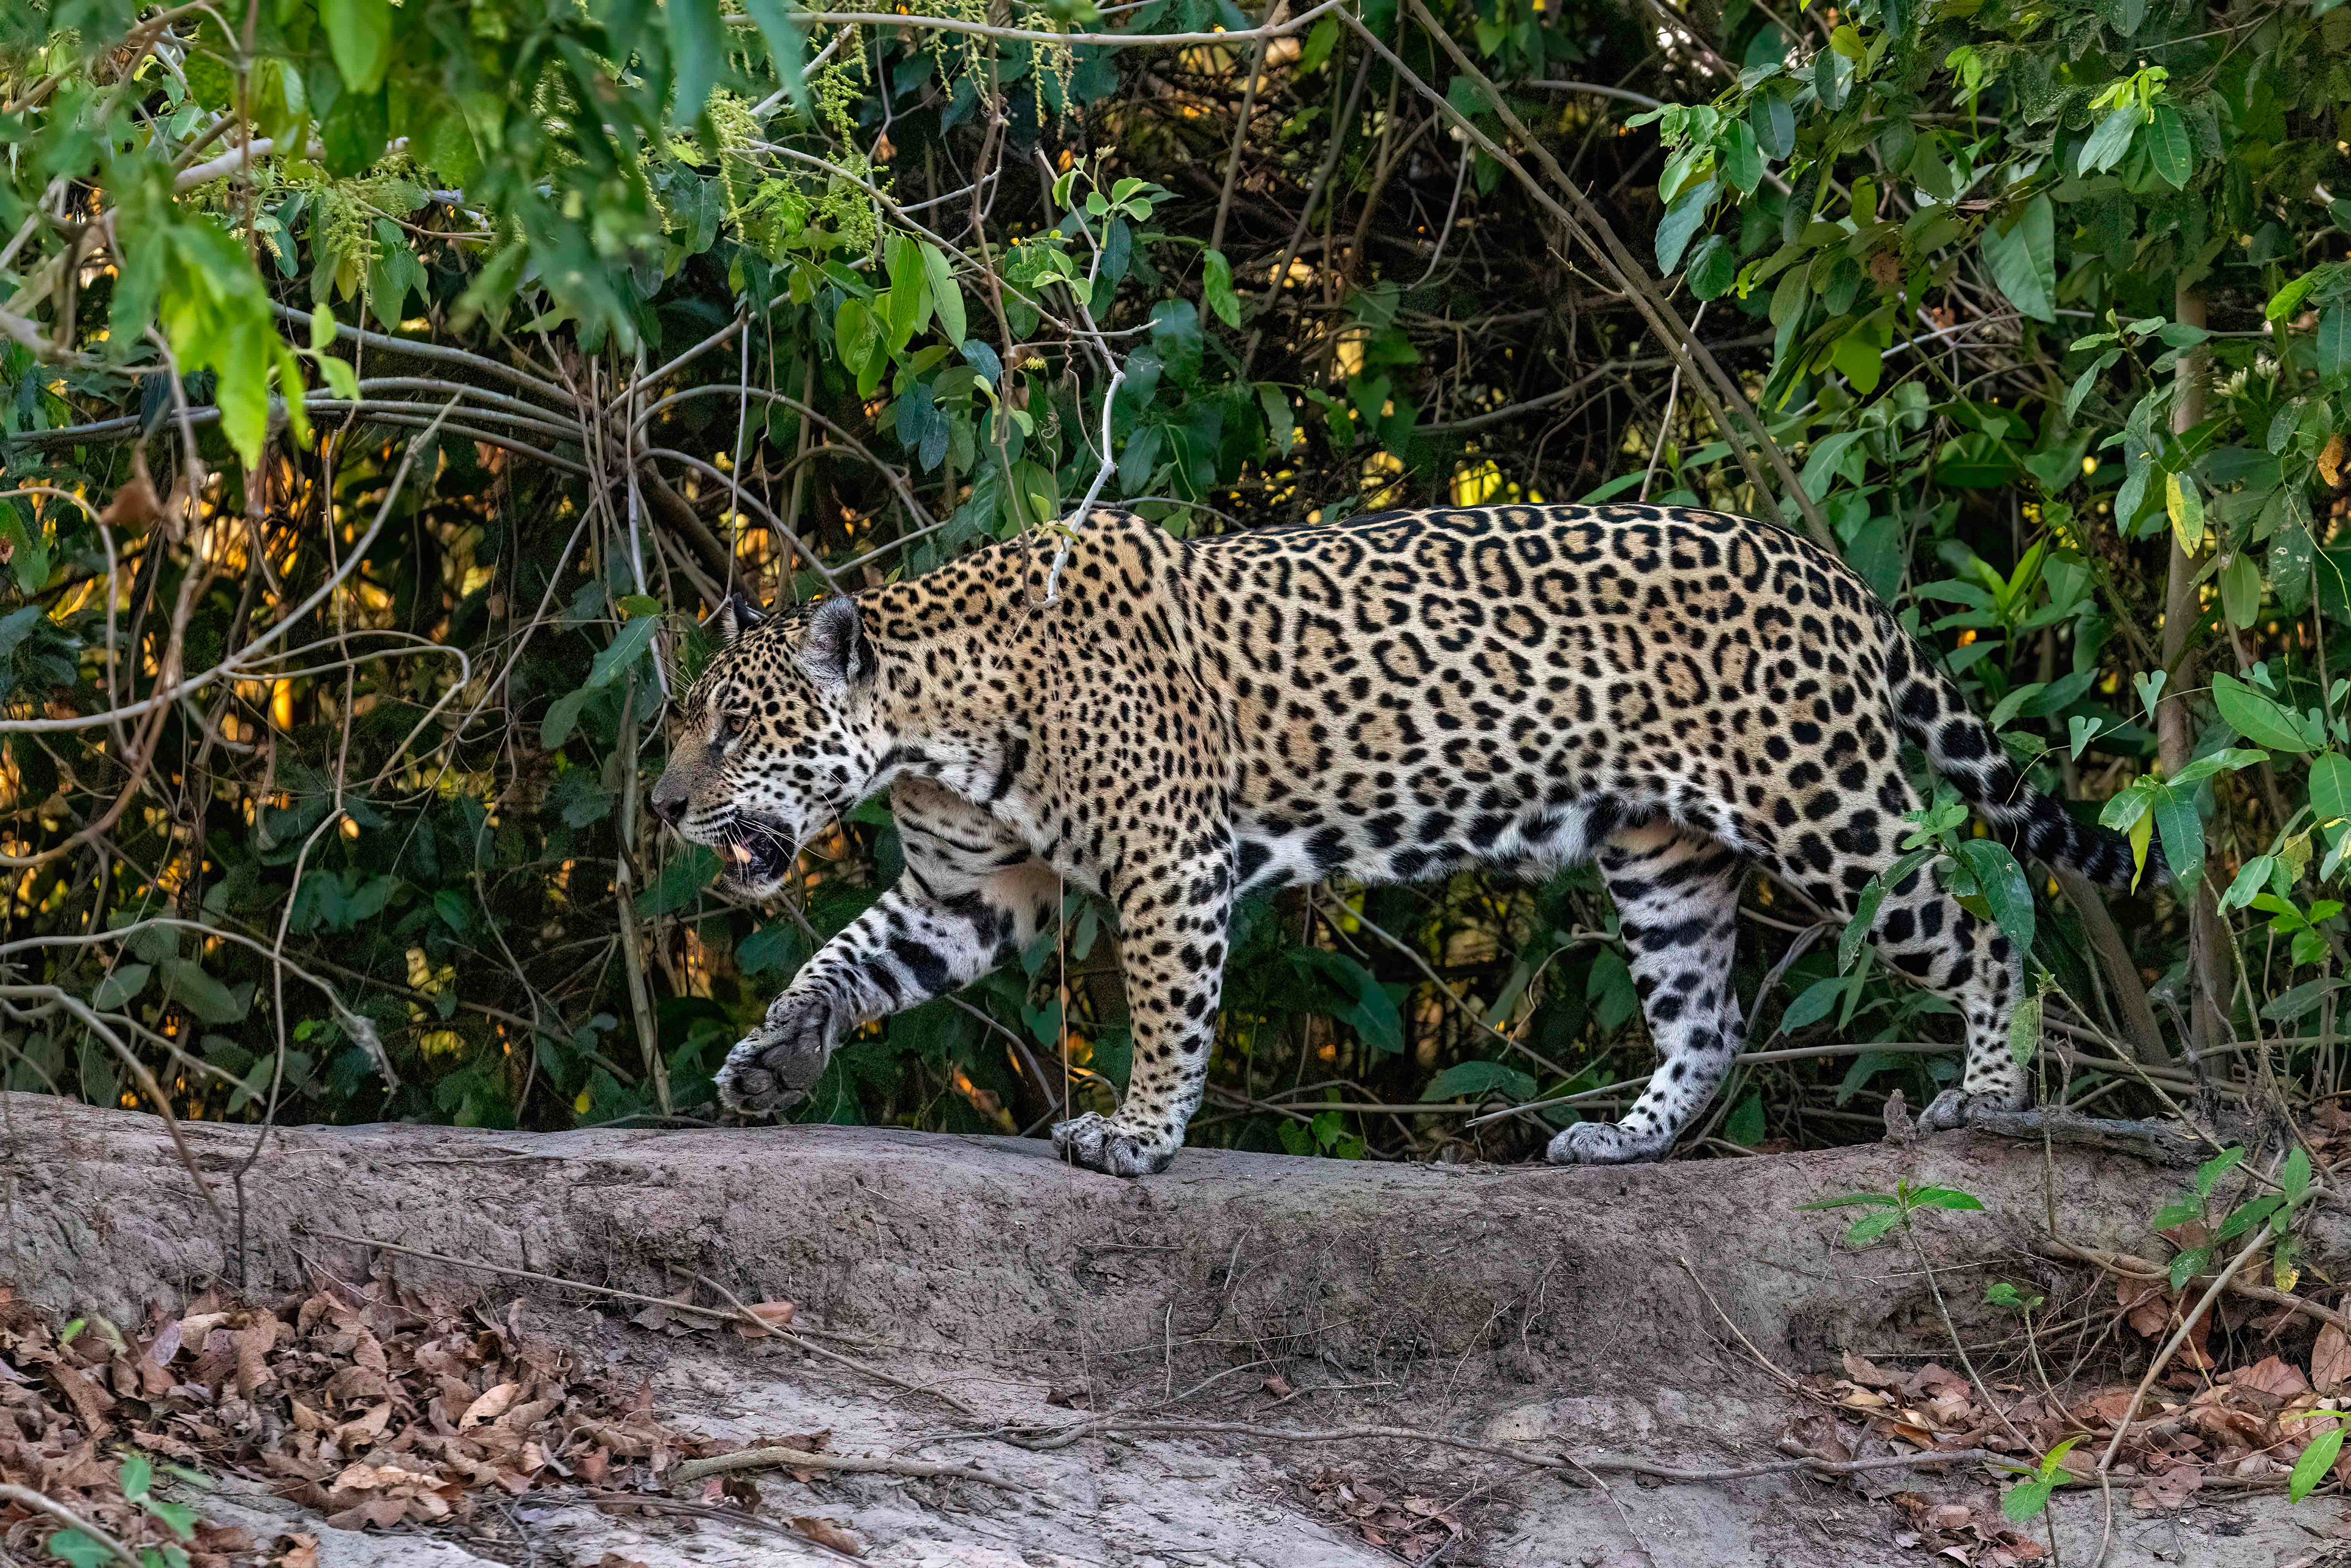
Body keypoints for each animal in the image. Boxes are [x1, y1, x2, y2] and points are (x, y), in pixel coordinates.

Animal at [648, 502, 2144, 1177]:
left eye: (730, 727)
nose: (661, 807)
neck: (937, 724)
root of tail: (1827, 563)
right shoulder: (973, 888)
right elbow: (850, 958)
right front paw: (771, 1059)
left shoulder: (1168, 865)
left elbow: (1170, 1017)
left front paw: (1134, 1137)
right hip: (1661, 850)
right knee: (1707, 1020)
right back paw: (1623, 1140)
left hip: (1825, 806)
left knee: (1990, 922)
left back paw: (1991, 1098)